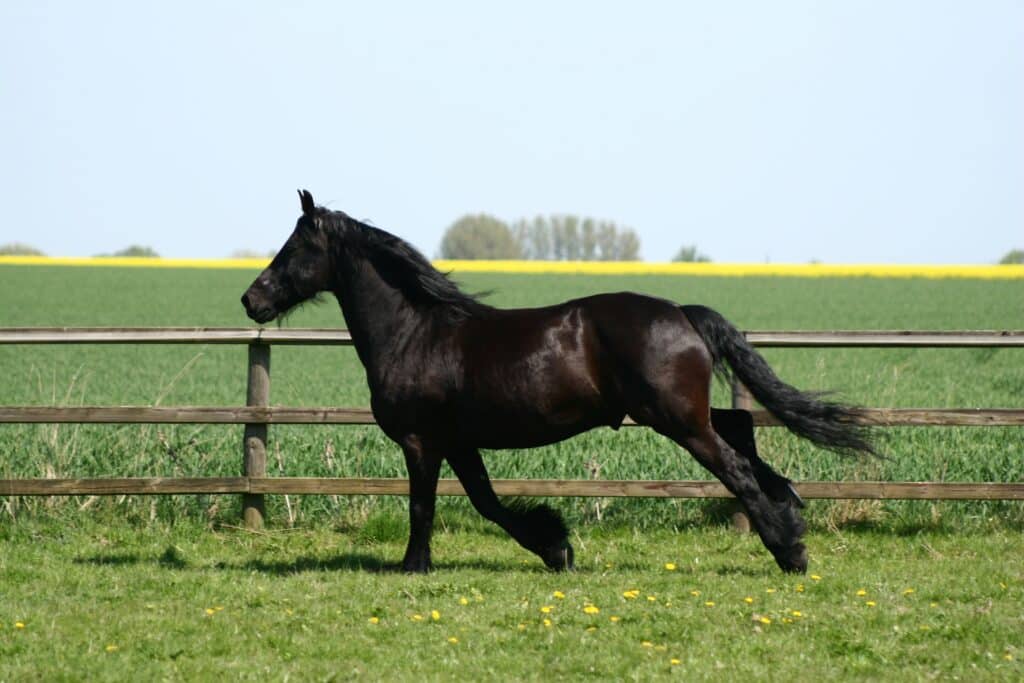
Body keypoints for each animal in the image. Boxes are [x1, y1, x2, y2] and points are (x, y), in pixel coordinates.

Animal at [242, 190, 875, 575]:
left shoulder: (423, 441)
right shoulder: (459, 441)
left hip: (677, 419)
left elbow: (424, 506)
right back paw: (790, 509)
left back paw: (790, 551)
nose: (251, 299)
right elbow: (487, 502)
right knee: (742, 426)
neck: (414, 332)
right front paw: (556, 547)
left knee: (736, 467)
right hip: (682, 412)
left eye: (295, 247)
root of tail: (683, 312)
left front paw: (413, 566)